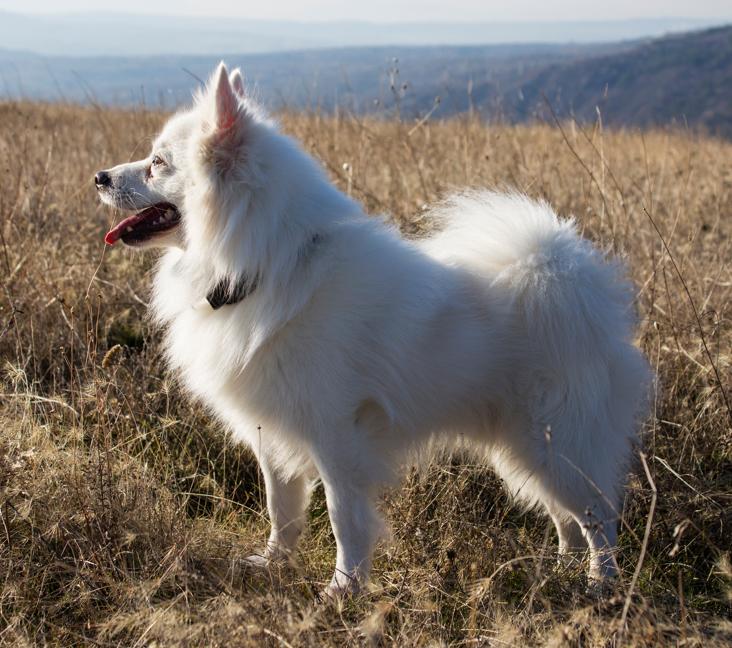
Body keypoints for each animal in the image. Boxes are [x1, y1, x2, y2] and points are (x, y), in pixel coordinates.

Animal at [94, 63, 648, 596]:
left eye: (158, 163)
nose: (99, 177)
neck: (271, 264)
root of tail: (576, 283)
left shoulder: (337, 437)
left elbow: (345, 519)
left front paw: (344, 589)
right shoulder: (273, 434)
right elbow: (282, 510)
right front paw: (273, 564)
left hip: (557, 444)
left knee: (599, 518)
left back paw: (600, 585)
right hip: (525, 450)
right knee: (565, 519)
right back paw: (560, 573)